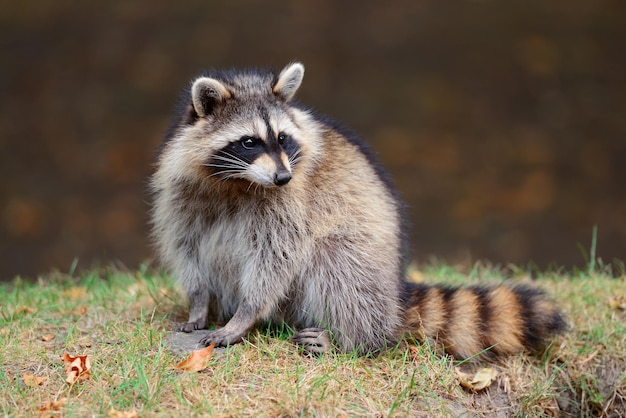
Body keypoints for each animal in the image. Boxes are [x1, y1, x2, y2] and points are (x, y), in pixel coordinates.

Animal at [152, 62, 564, 360]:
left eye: (283, 138)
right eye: (249, 142)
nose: (283, 176)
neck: (238, 181)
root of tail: (395, 292)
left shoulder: (291, 203)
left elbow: (276, 257)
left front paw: (245, 315)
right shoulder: (182, 191)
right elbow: (186, 245)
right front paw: (199, 302)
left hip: (366, 261)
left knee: (337, 264)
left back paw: (352, 339)